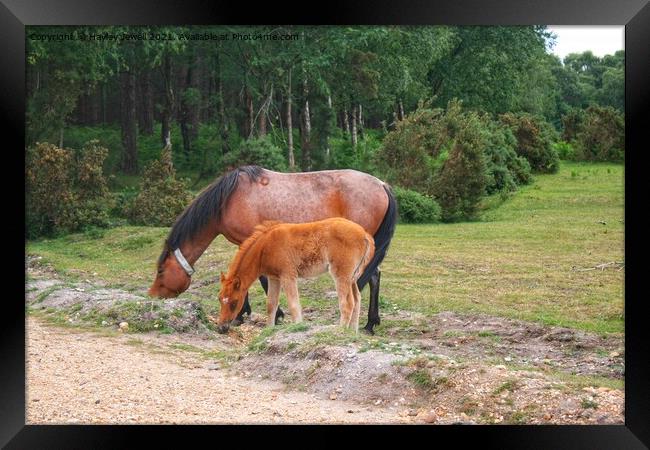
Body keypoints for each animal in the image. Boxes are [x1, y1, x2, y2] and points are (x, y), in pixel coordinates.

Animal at [215, 216, 372, 336]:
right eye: (219, 299)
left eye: (234, 302)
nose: (221, 328)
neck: (265, 247)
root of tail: (365, 234)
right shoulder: (274, 278)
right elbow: (271, 304)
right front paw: (269, 330)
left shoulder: (288, 275)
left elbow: (293, 305)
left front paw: (298, 327)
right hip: (352, 277)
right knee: (357, 299)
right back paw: (352, 333)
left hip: (341, 274)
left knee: (347, 303)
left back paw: (341, 331)